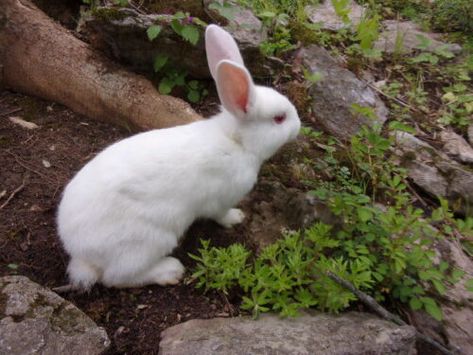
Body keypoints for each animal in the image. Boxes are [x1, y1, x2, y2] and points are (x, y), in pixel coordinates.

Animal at [55, 24, 298, 290]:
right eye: (279, 119)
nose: (299, 125)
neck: (237, 142)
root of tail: (80, 252)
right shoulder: (219, 200)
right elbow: (220, 215)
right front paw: (237, 218)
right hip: (151, 240)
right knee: (117, 278)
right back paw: (170, 270)